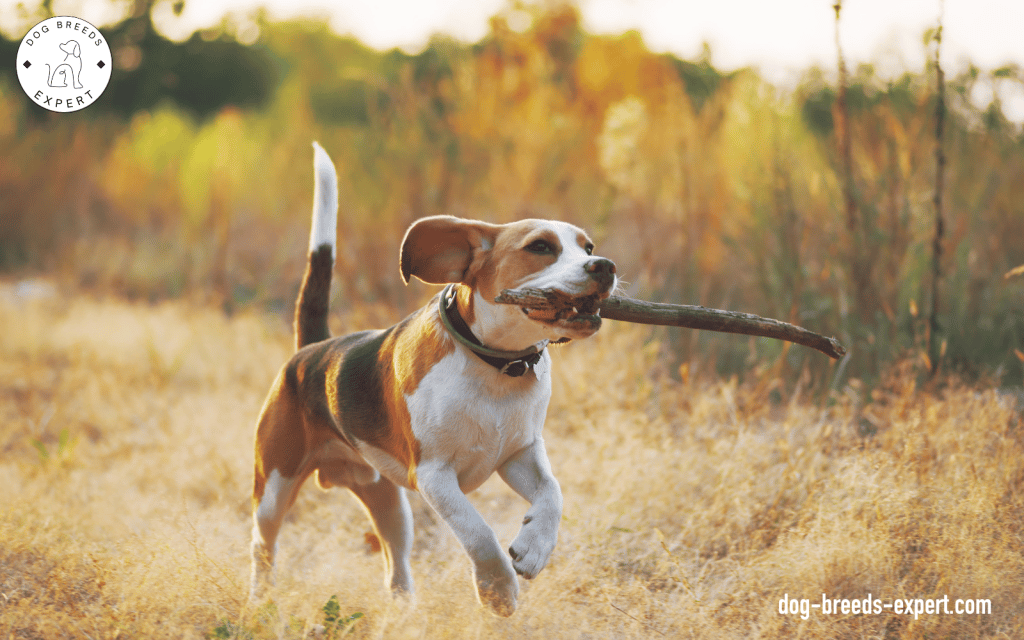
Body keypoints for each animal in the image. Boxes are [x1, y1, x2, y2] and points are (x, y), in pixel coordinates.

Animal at [249, 141, 614, 614]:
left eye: (588, 247)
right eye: (540, 247)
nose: (604, 266)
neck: (496, 365)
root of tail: (313, 350)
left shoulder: (520, 453)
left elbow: (552, 493)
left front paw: (535, 546)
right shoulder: (435, 476)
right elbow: (478, 531)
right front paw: (497, 589)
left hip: (389, 503)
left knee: (395, 560)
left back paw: (404, 609)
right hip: (273, 488)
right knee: (262, 546)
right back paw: (259, 600)